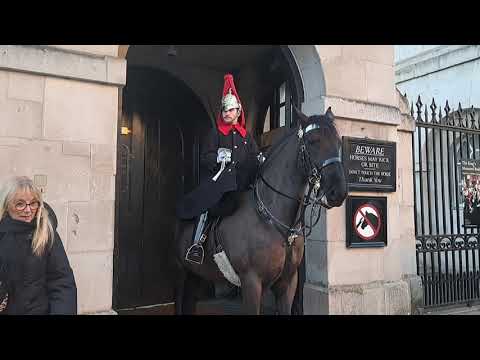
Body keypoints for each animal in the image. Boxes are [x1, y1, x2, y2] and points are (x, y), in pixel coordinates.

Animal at [174, 105, 346, 314]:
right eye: (313, 141)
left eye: (338, 142)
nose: (338, 191)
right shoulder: (251, 283)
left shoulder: (287, 283)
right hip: (181, 271)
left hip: (196, 275)